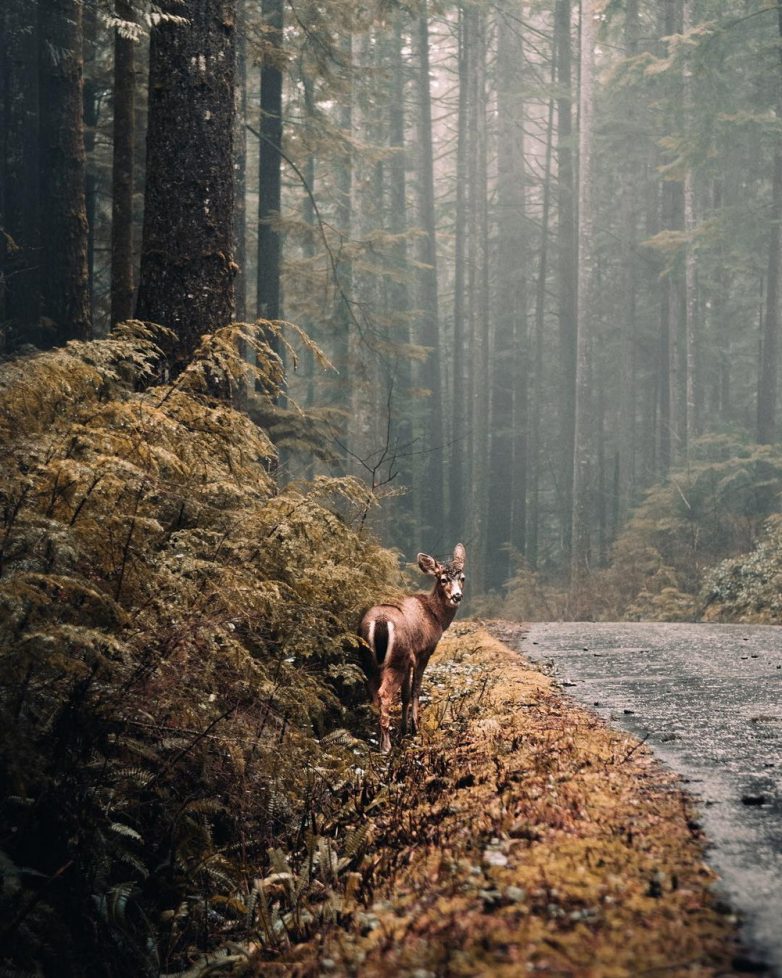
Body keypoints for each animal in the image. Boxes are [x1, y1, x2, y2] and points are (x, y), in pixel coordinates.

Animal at [360, 544, 468, 752]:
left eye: (463, 578)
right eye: (443, 579)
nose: (457, 596)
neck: (436, 617)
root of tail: (380, 621)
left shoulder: (410, 659)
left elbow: (405, 695)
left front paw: (404, 728)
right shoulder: (423, 652)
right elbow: (416, 689)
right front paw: (414, 727)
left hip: (369, 660)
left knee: (373, 693)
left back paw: (377, 737)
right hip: (396, 659)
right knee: (384, 694)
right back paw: (386, 745)